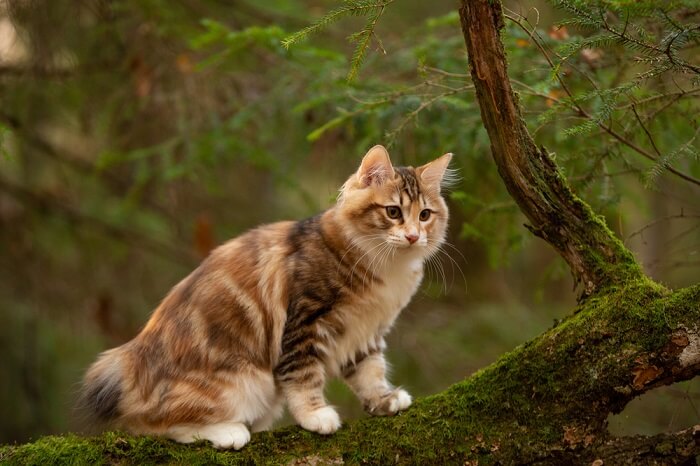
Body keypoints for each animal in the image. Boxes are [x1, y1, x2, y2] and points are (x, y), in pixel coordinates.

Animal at [80, 145, 454, 448]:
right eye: (393, 212)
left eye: (424, 215)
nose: (412, 236)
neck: (385, 268)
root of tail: (133, 362)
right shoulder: (305, 320)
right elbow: (304, 376)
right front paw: (315, 415)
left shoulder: (367, 331)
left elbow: (370, 372)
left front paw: (384, 399)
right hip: (243, 381)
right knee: (155, 425)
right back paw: (228, 432)